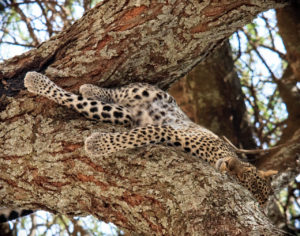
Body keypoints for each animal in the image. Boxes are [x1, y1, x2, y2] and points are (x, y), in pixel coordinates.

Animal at [0, 71, 276, 222]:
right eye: (247, 177)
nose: (229, 164)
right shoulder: (169, 131)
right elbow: (142, 134)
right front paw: (98, 144)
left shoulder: (169, 135)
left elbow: (139, 134)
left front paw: (97, 144)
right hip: (146, 95)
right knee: (113, 94)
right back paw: (51, 82)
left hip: (123, 116)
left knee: (97, 106)